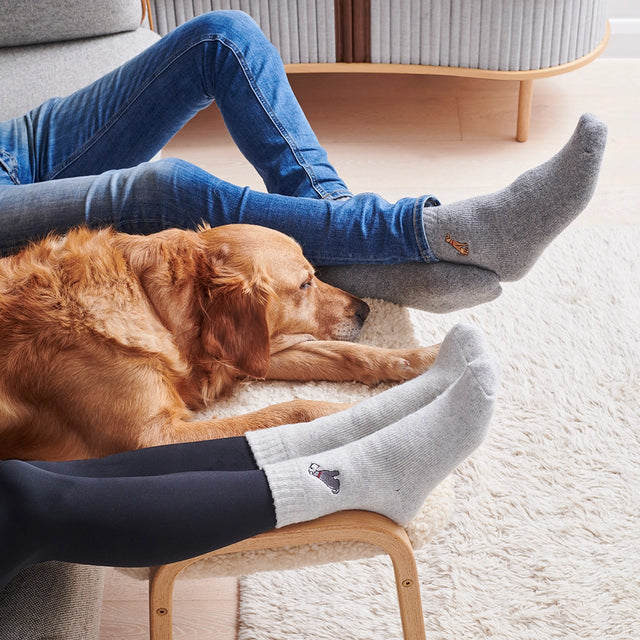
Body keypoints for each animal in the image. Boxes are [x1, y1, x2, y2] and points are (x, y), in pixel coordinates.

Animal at [0, 224, 440, 460]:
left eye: (314, 275)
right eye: (304, 284)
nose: (364, 310)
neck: (151, 304)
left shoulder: (243, 353)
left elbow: (352, 353)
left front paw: (426, 357)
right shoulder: (153, 440)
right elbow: (291, 409)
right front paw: (359, 413)